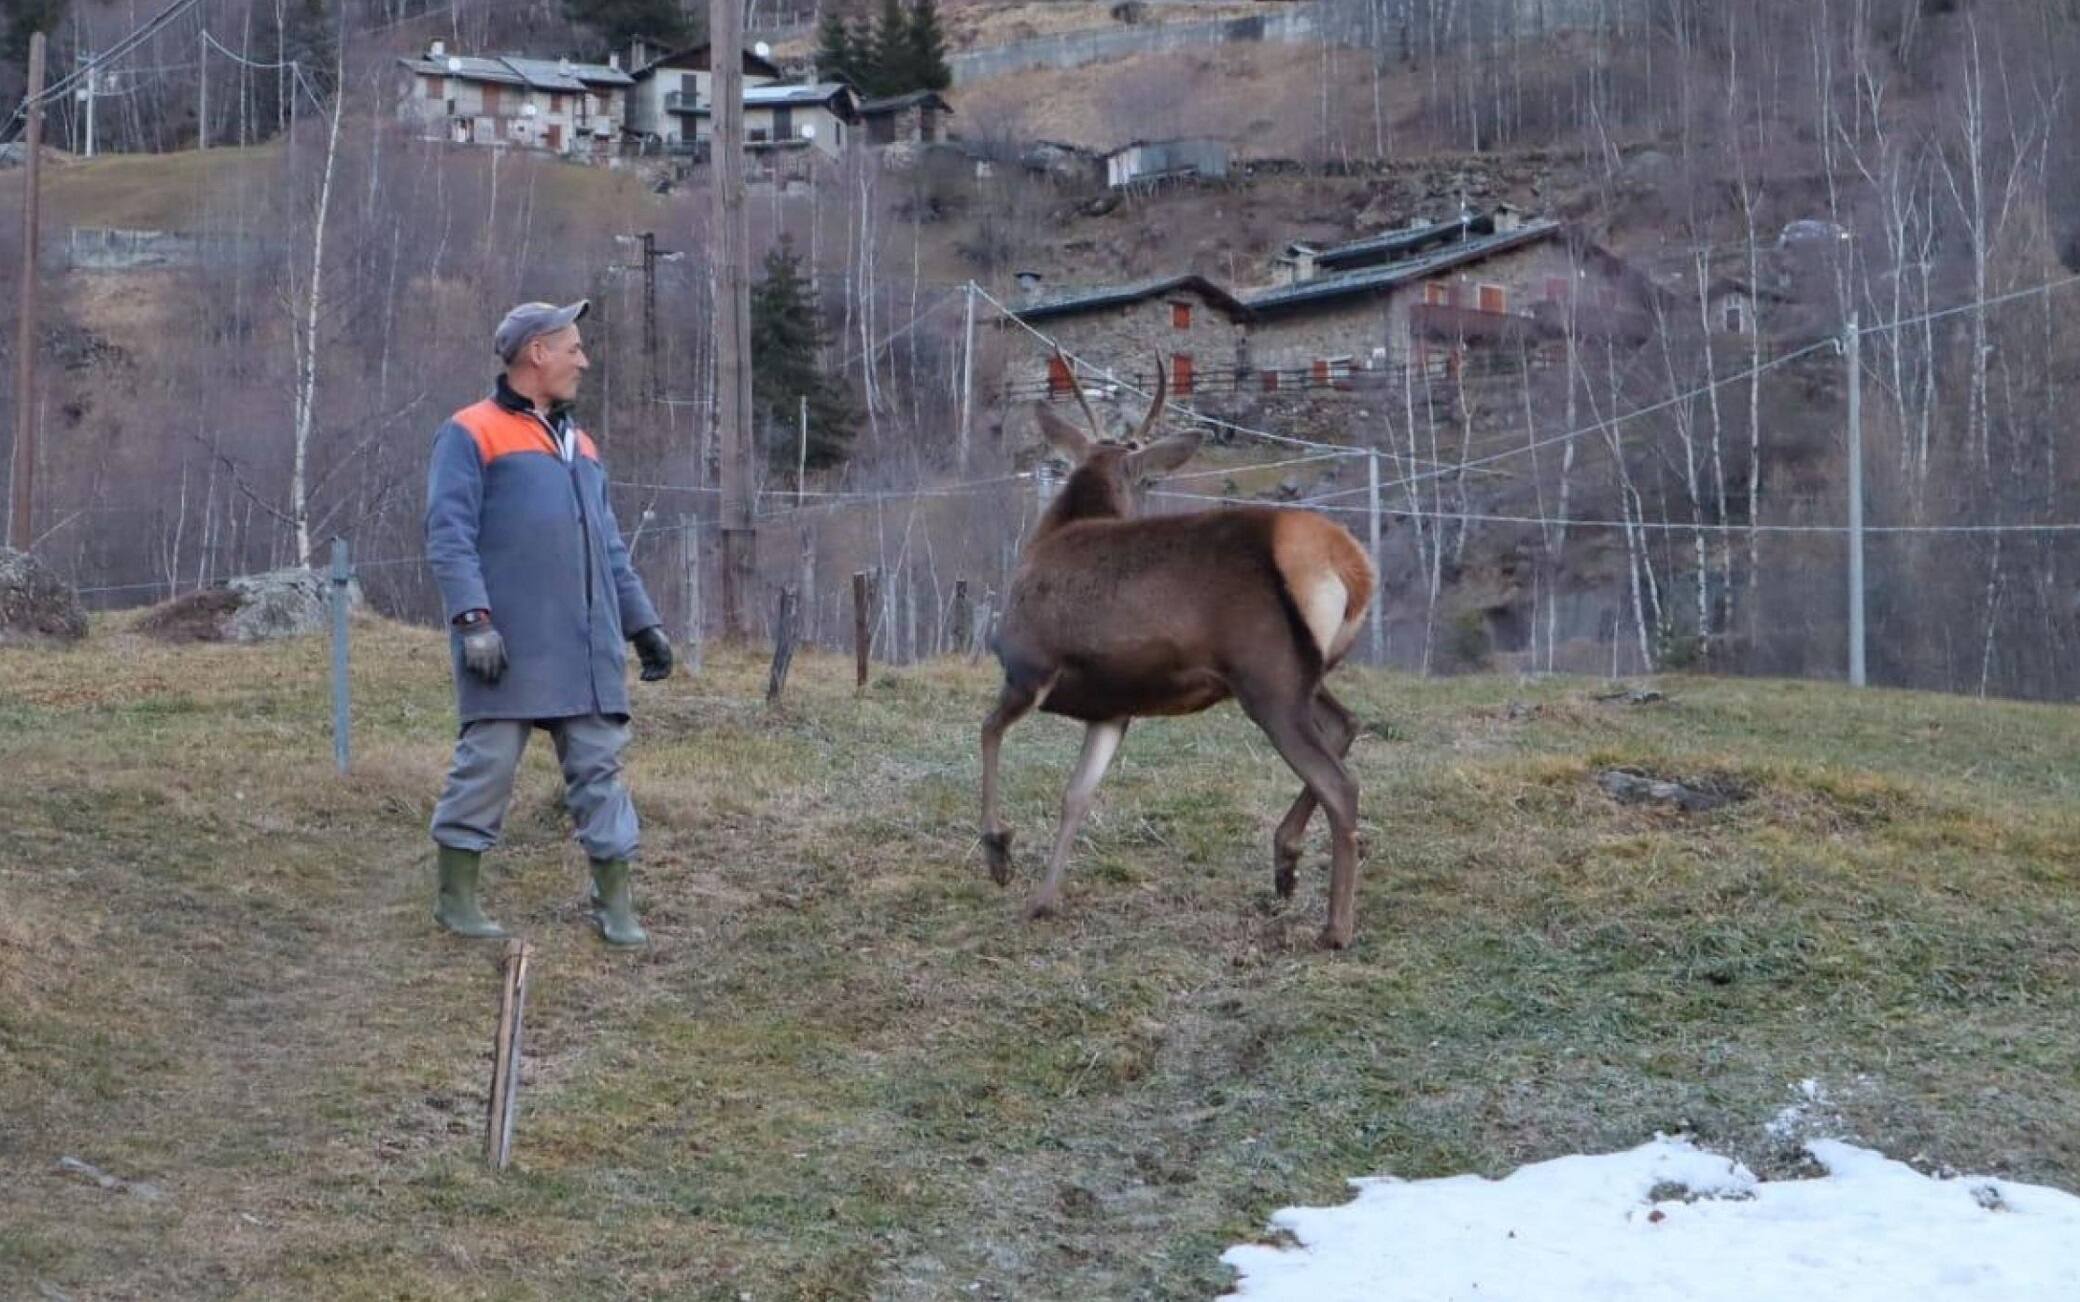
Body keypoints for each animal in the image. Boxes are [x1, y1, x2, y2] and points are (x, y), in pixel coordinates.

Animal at [977, 355, 1381, 944]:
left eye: (1147, 478)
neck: (1050, 537)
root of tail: (1349, 563)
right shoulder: (1113, 708)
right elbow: (1076, 795)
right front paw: (1043, 901)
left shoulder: (1030, 666)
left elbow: (988, 731)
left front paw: (998, 852)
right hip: (1304, 674)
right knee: (1347, 723)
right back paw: (1285, 862)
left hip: (1268, 676)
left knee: (1341, 784)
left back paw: (1335, 927)